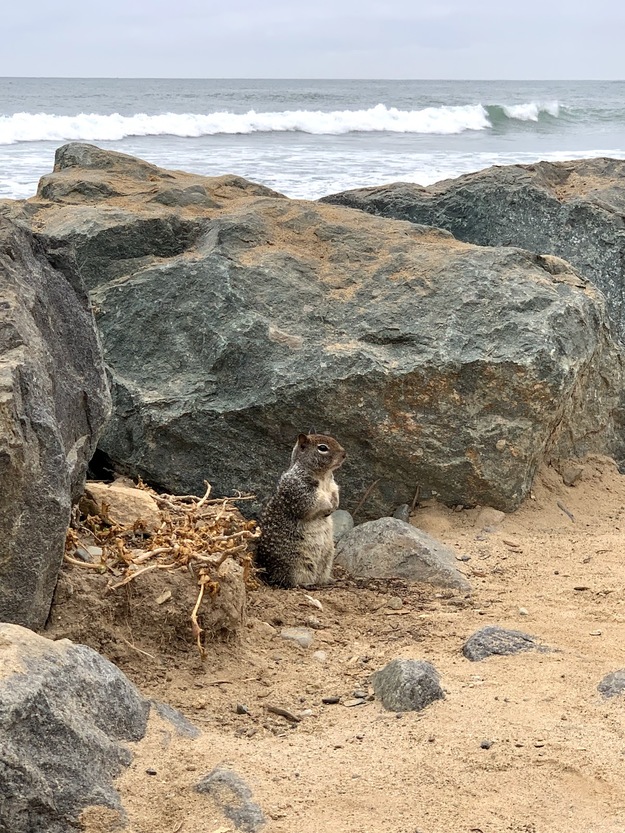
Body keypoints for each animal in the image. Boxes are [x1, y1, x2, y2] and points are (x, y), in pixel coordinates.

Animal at [256, 432, 348, 588]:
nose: (344, 454)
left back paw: (328, 581)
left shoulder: (333, 486)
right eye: (322, 448)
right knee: (290, 581)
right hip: (295, 563)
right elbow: (315, 502)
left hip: (327, 559)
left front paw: (334, 505)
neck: (323, 476)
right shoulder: (300, 490)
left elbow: (335, 493)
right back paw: (306, 584)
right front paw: (328, 506)